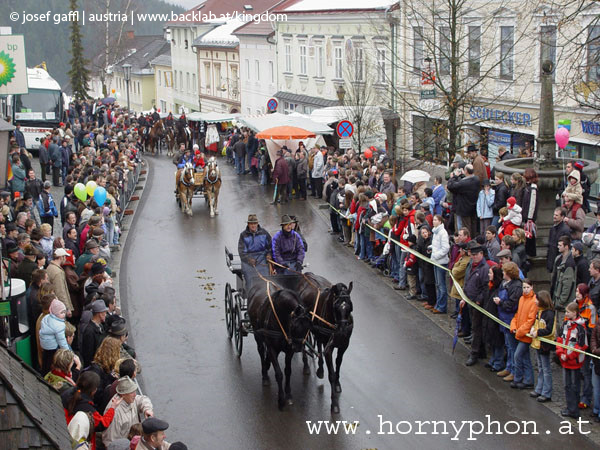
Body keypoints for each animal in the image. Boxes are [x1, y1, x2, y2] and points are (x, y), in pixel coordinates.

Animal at [246, 282, 312, 412]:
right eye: (294, 326)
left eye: (308, 327)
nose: (298, 347)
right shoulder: (272, 347)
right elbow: (279, 373)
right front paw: (281, 400)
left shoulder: (289, 349)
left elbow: (288, 371)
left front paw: (289, 394)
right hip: (257, 334)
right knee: (261, 351)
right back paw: (265, 375)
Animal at [296, 272, 352, 414]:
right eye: (336, 306)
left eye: (350, 306)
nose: (343, 331)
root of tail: (307, 275)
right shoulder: (329, 348)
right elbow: (331, 373)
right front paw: (335, 404)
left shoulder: (344, 345)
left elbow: (338, 363)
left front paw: (337, 384)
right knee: (304, 344)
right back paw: (307, 366)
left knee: (319, 345)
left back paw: (320, 368)